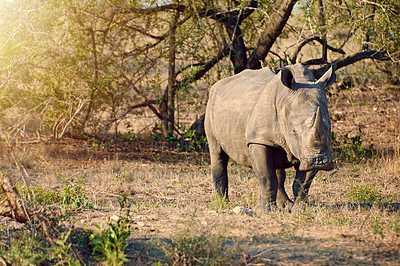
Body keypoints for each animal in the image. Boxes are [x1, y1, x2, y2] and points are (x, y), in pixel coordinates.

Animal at [205, 63, 336, 209]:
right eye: (294, 131)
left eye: (328, 129)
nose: (320, 161)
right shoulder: (259, 139)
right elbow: (267, 178)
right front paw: (265, 210)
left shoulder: (307, 152)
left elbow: (303, 182)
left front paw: (300, 208)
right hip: (211, 107)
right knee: (217, 152)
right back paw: (222, 204)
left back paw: (284, 204)